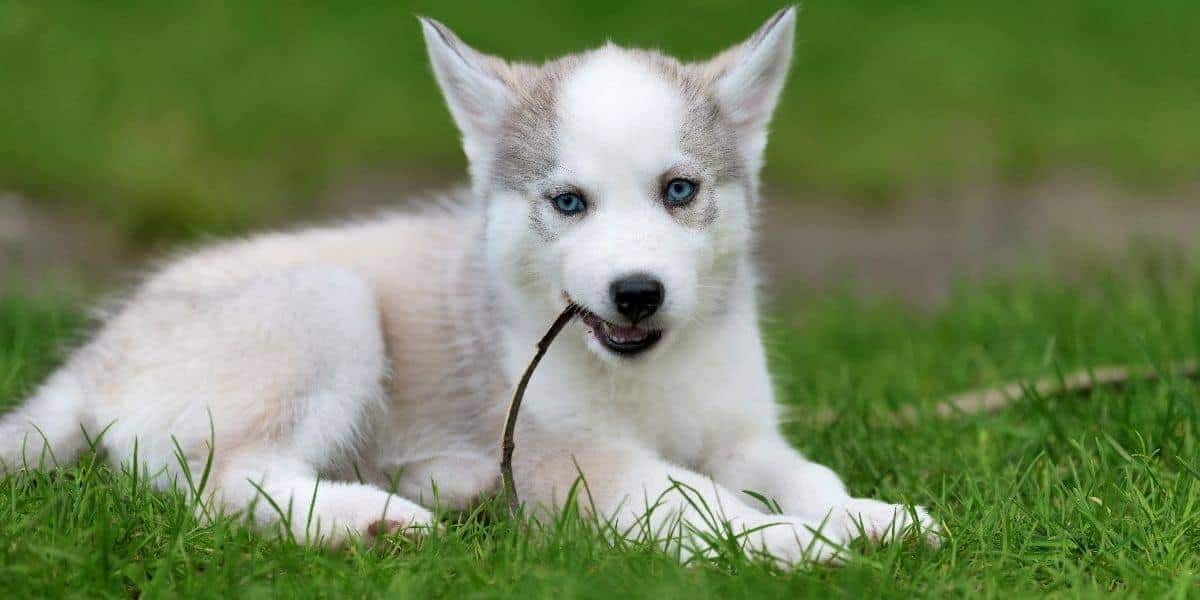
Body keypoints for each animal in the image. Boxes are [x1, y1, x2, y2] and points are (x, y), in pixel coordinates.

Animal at [2, 8, 936, 561]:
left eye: (679, 191)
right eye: (568, 202)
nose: (637, 293)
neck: (644, 377)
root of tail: (99, 350)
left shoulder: (741, 434)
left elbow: (805, 473)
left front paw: (868, 517)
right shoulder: (573, 457)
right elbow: (696, 500)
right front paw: (791, 543)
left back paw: (450, 486)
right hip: (330, 302)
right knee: (222, 487)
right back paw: (370, 521)